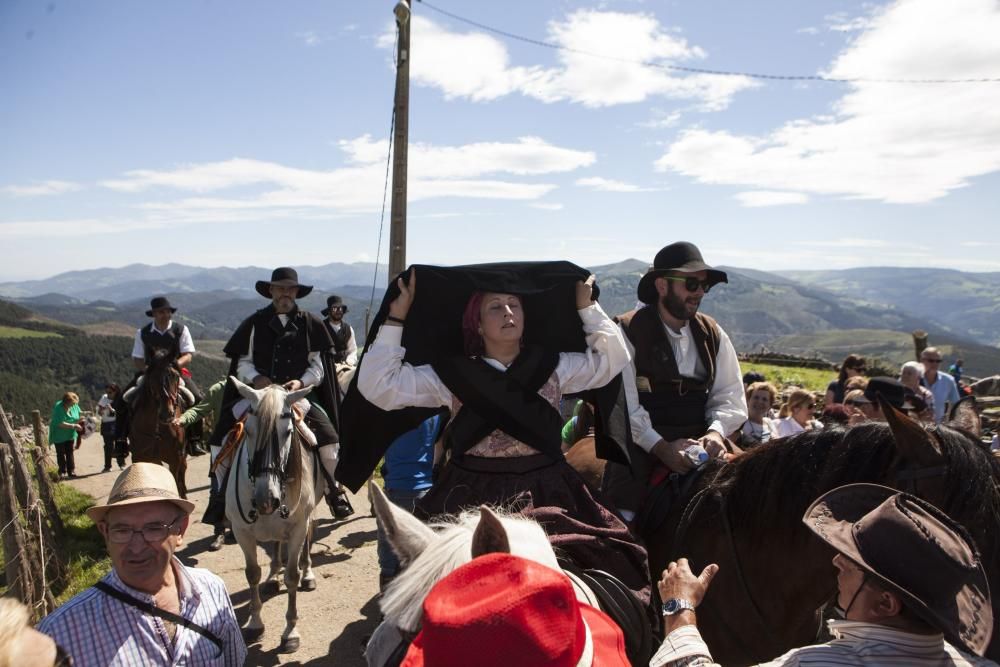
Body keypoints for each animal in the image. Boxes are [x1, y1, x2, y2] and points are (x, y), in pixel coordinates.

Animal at [129, 352, 188, 498]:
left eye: (176, 376)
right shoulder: (141, 456)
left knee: (183, 470)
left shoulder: (175, 459)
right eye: (152, 377)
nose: (167, 414)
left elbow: (175, 480)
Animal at [227, 378, 324, 656]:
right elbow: (252, 574)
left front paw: (290, 632)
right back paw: (272, 577)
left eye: (288, 431)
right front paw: (255, 623)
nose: (266, 499)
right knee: (276, 545)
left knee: (306, 542)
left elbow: (291, 576)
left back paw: (308, 573)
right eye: (248, 431)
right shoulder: (242, 531)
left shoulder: (298, 526)